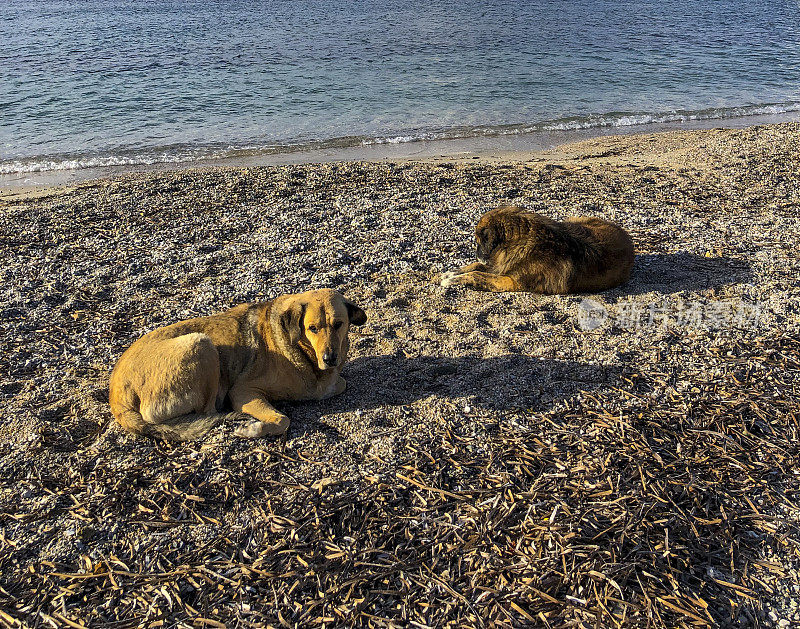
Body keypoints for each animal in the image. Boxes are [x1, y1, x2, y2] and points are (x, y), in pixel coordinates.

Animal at [108, 288, 366, 440]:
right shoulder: (243, 392)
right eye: (312, 328)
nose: (330, 358)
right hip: (201, 344)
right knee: (209, 412)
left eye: (339, 324)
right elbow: (282, 419)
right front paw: (254, 429)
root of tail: (117, 396)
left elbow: (340, 383)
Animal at [440, 206, 636, 294]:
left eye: (479, 241)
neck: (521, 241)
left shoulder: (511, 281)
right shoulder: (503, 264)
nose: (477, 253)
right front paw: (452, 272)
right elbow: (476, 267)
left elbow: (479, 275)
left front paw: (452, 280)